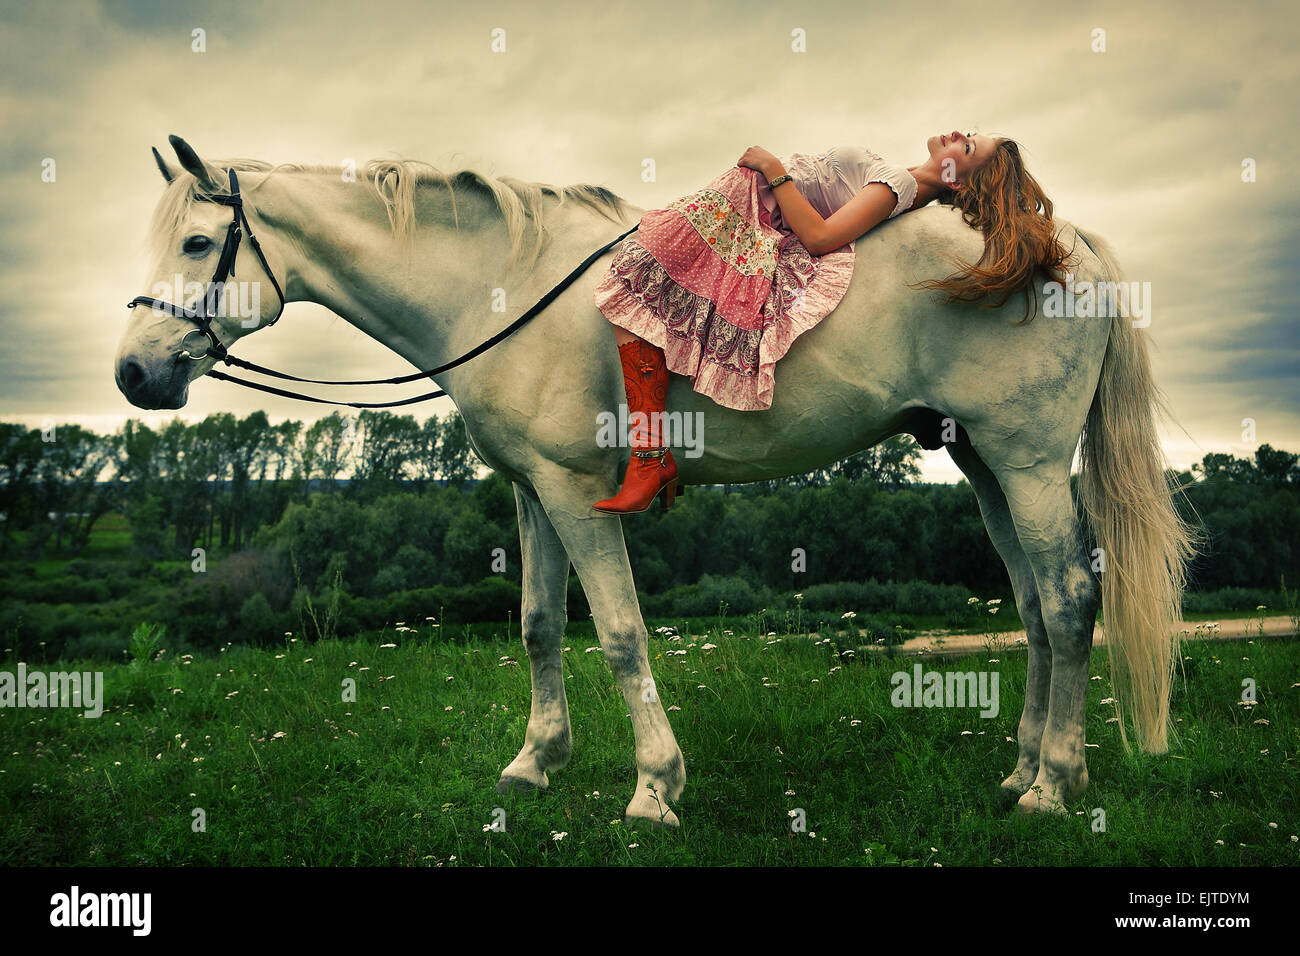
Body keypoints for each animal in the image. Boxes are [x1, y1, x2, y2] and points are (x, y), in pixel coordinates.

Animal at [122, 136, 1196, 832]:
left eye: (194, 245)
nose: (134, 374)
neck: (499, 290)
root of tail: (1067, 244)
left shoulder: (573, 494)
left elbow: (623, 635)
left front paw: (654, 788)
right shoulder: (532, 493)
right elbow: (538, 625)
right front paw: (533, 765)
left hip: (1026, 461)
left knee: (1070, 599)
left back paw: (1056, 784)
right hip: (984, 464)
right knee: (1033, 606)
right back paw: (1021, 775)